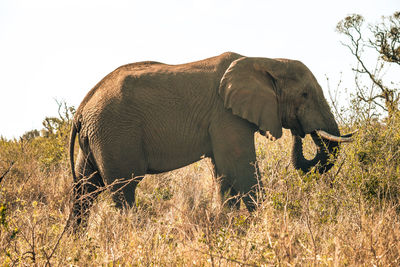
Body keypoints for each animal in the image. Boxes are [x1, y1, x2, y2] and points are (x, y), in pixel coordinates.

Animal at [70, 51, 352, 227]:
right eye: (304, 95)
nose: (300, 132)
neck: (265, 60)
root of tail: (82, 107)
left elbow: (224, 176)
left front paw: (230, 224)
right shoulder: (226, 117)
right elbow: (241, 171)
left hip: (96, 138)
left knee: (84, 190)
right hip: (115, 134)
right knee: (123, 190)